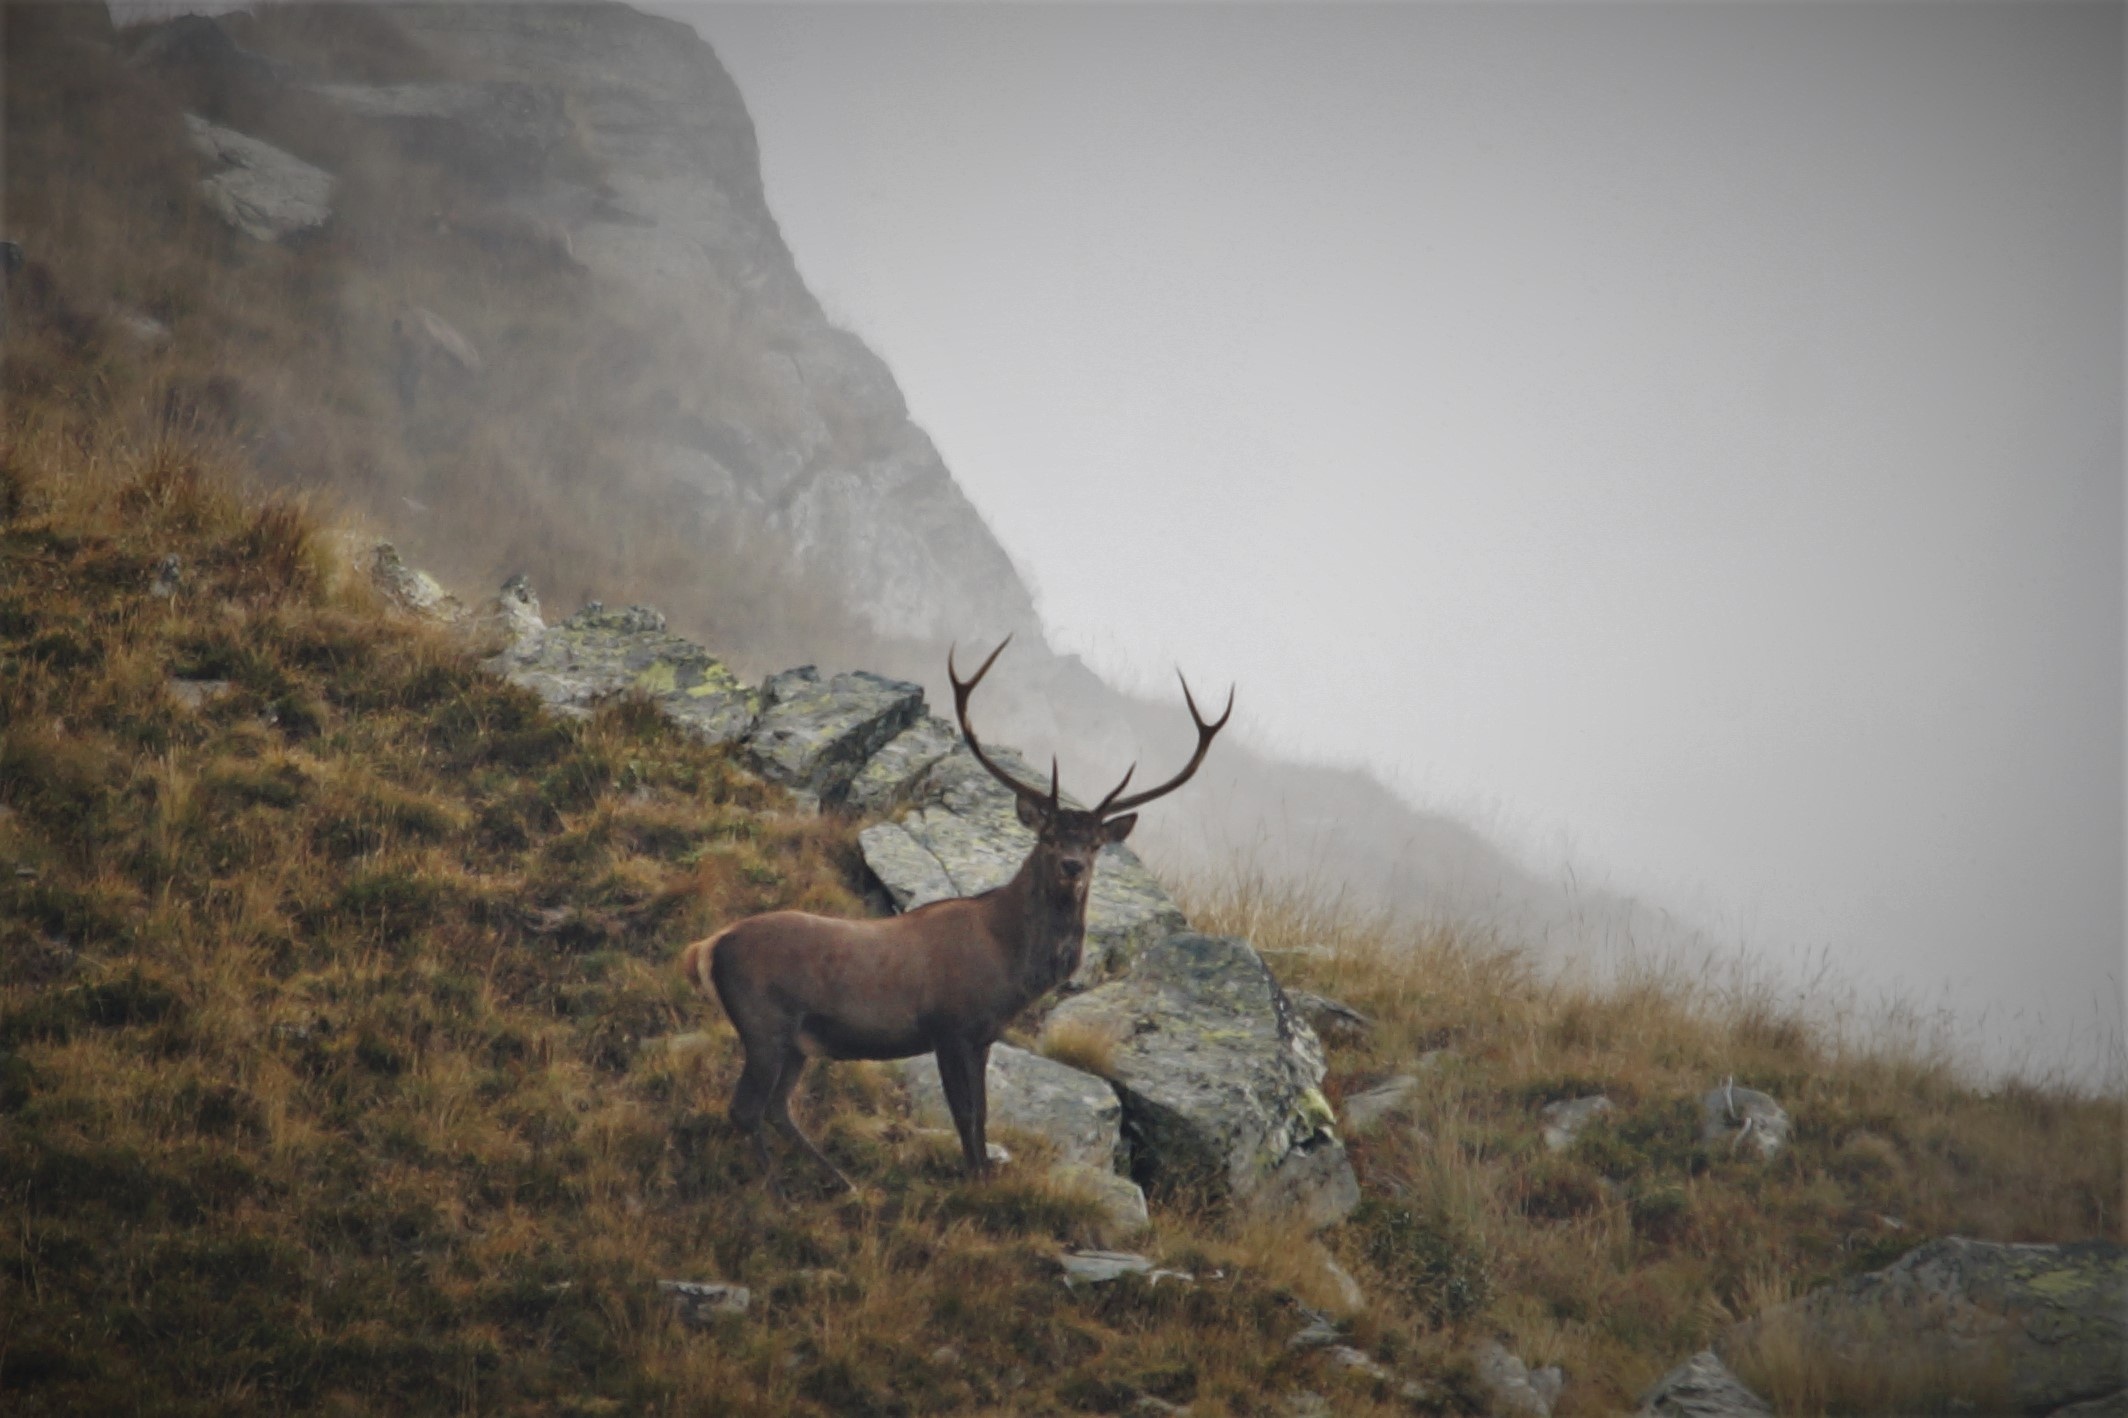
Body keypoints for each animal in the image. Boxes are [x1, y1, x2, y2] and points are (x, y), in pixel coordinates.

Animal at [678, 637, 1231, 1193]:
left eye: (1096, 843)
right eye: (1049, 836)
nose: (1072, 866)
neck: (1008, 962)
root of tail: (707, 946)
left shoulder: (983, 1034)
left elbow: (982, 1114)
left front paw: (983, 1174)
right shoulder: (950, 1024)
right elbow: (965, 1115)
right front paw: (976, 1183)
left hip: (796, 1041)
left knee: (776, 1108)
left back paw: (842, 1181)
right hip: (763, 1021)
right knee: (746, 1108)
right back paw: (778, 1187)